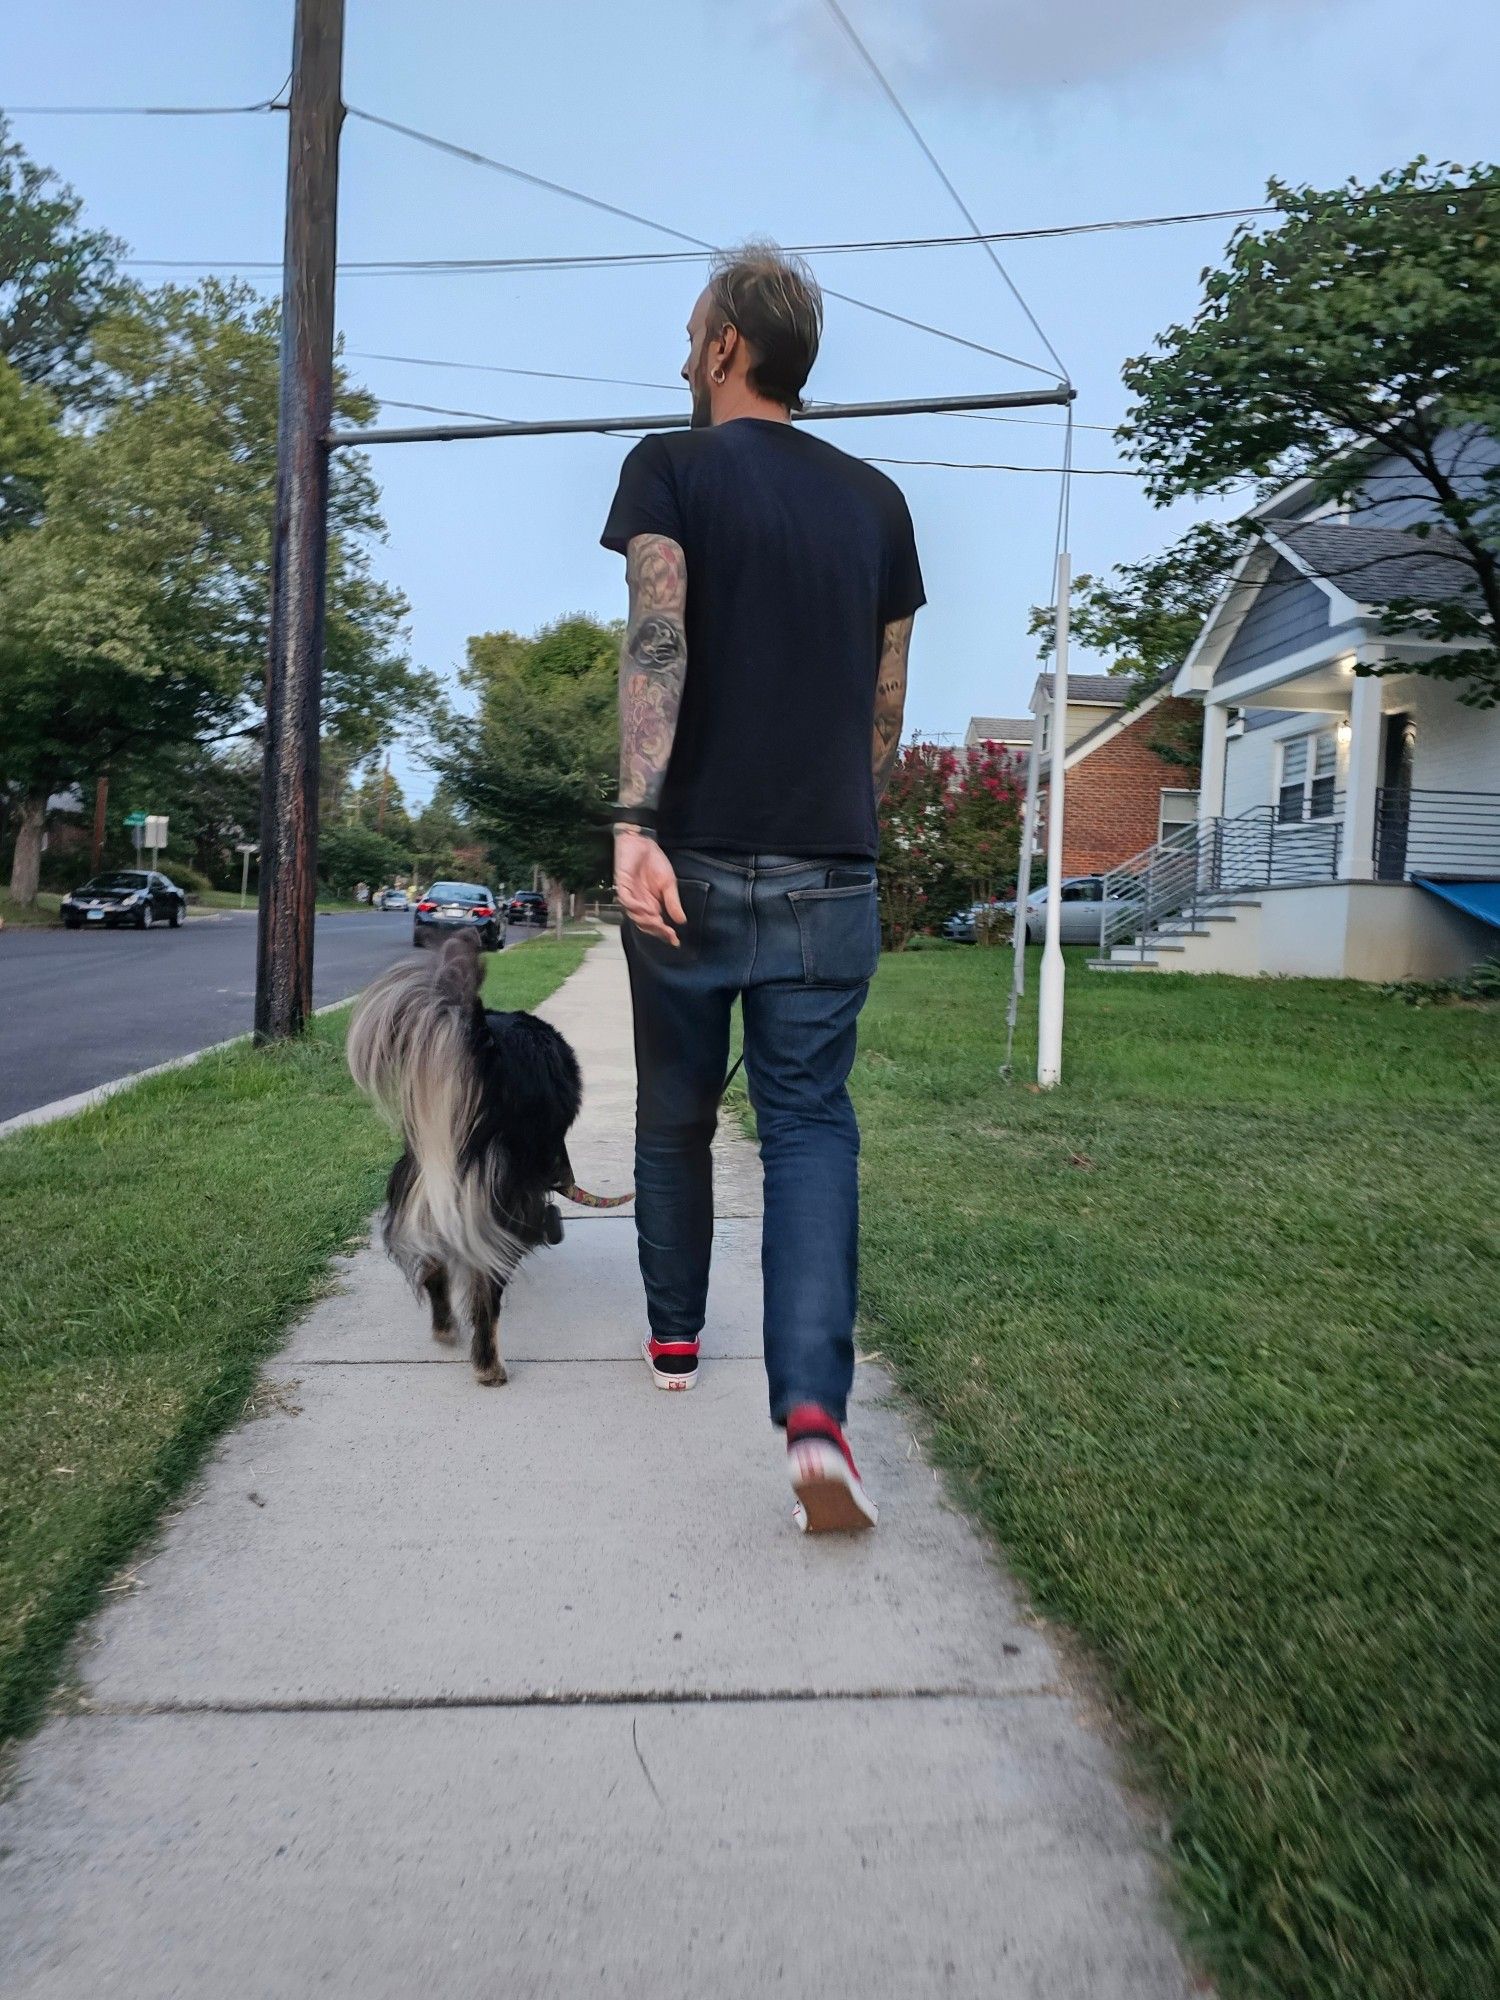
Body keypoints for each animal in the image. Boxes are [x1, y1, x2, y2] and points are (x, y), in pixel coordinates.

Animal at [350, 928, 584, 1384]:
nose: (564, 1177)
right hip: (486, 1200)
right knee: (484, 1291)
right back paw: (489, 1366)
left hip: (424, 1186)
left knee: (435, 1268)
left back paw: (444, 1329)